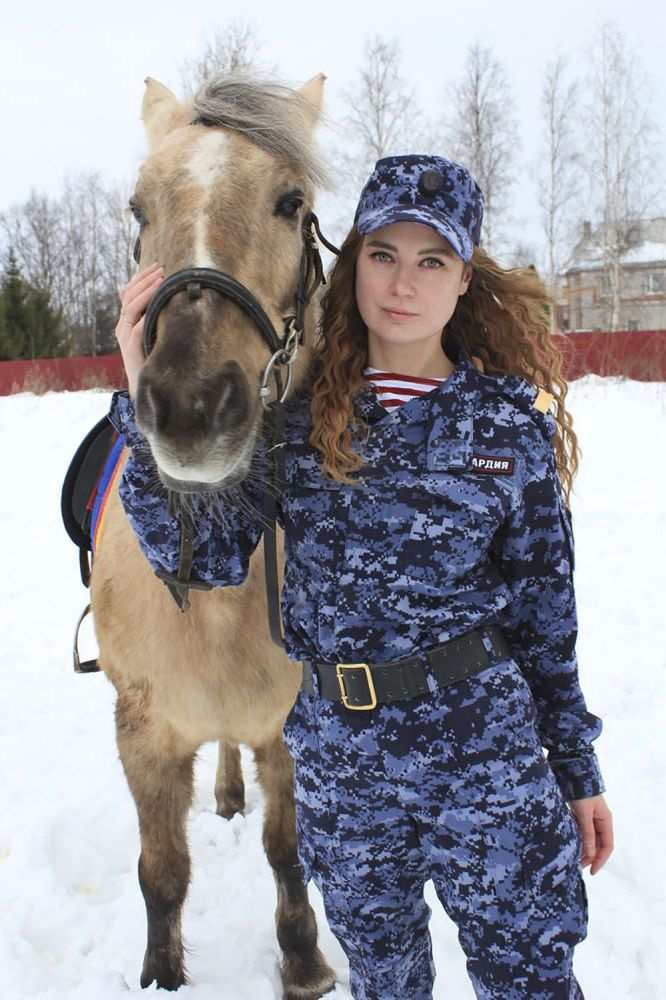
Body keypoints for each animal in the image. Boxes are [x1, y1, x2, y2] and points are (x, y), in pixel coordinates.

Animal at [89, 76, 334, 1000]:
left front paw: (302, 961)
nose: (192, 409)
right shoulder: (144, 734)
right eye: (137, 210)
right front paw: (162, 975)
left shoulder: (293, 727)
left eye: (290, 200)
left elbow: (289, 852)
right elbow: (161, 872)